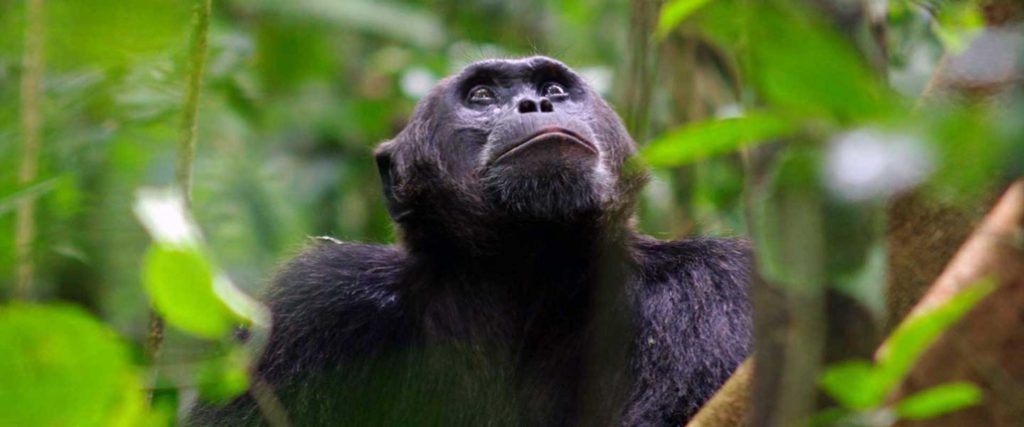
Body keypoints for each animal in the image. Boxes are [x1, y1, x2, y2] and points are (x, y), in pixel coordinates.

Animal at [189, 56, 752, 427]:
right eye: (481, 96)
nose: (536, 101)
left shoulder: (712, 289)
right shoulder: (313, 303)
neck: (525, 269)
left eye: (555, 87)